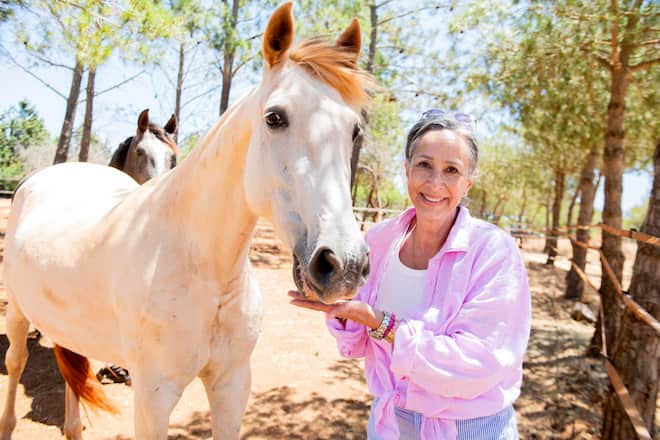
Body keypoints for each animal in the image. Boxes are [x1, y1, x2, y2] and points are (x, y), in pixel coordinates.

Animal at [0, 3, 371, 439]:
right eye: (274, 118)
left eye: (354, 129)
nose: (344, 264)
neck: (204, 271)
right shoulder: (153, 398)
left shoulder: (232, 384)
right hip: (18, 312)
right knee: (16, 364)